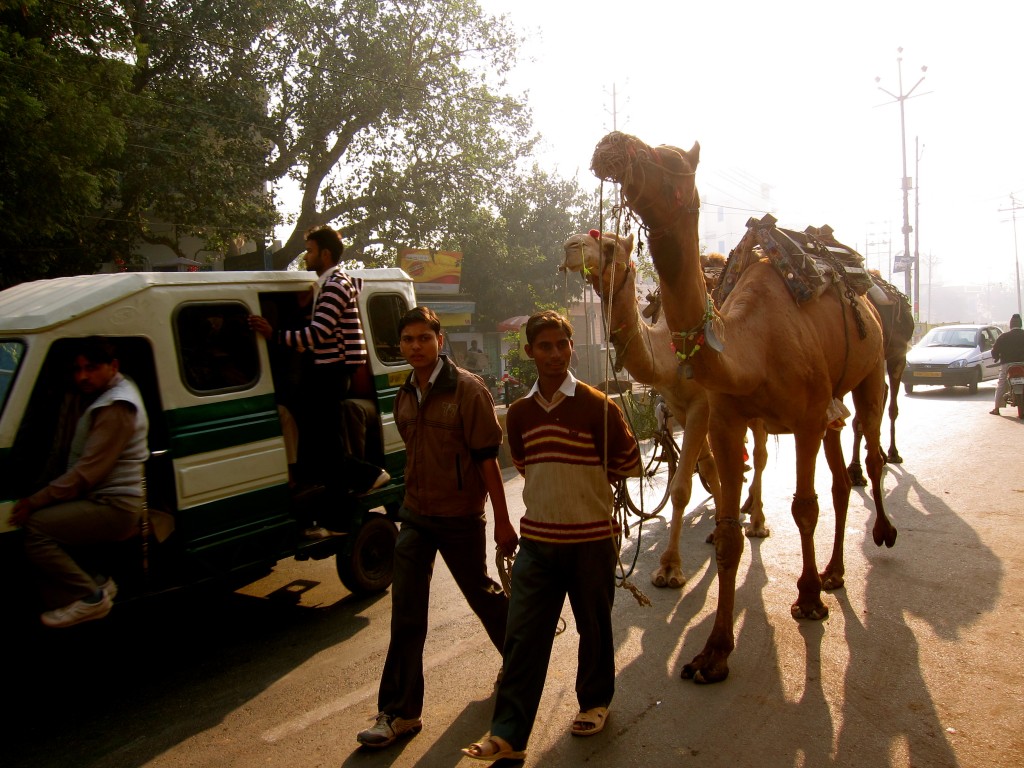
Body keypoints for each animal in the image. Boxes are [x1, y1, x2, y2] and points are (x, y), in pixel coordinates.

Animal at [561, 230, 770, 589]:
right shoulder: (680, 407)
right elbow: (709, 468)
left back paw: (756, 522)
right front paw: (718, 527)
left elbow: (682, 488)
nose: (571, 247)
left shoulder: (702, 403)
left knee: (759, 455)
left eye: (610, 245)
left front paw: (670, 568)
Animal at [593, 132, 897, 684]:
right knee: (840, 479)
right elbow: (729, 530)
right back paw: (835, 571)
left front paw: (806, 599)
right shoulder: (726, 418)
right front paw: (713, 651)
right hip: (822, 408)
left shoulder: (799, 417)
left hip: (868, 371)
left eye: (669, 160)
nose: (613, 143)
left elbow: (803, 507)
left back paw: (876, 536)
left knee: (870, 448)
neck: (751, 346)